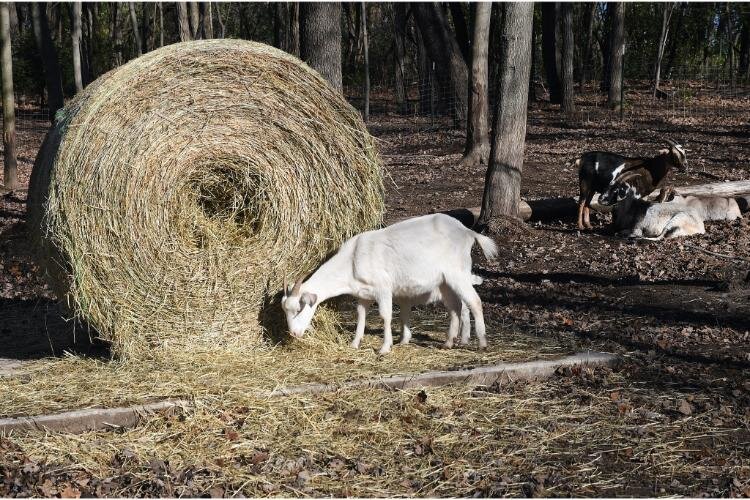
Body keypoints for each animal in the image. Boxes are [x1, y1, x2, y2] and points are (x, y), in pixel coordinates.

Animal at [282, 213, 500, 354]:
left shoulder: (383, 289)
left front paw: (385, 348)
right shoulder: (363, 295)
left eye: (299, 309)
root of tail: (467, 232)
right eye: (286, 310)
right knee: (455, 307)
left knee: (474, 302)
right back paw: (448, 342)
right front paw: (354, 344)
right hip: (445, 282)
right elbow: (361, 317)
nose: (293, 333)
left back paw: (481, 343)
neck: (352, 260)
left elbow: (385, 316)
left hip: (458, 273)